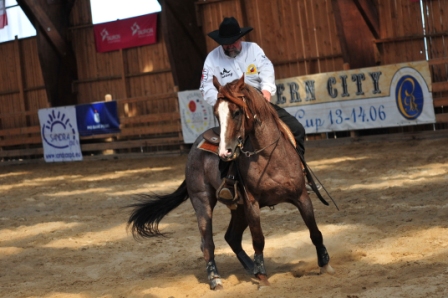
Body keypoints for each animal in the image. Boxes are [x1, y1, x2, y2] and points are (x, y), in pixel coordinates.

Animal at [126, 75, 332, 292]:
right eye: (216, 113)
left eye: (237, 112)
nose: (225, 152)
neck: (270, 157)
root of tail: (194, 148)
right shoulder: (252, 204)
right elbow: (258, 240)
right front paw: (263, 278)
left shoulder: (301, 196)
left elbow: (315, 232)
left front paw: (325, 265)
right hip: (203, 201)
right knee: (207, 243)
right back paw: (216, 278)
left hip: (238, 209)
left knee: (231, 237)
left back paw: (250, 267)